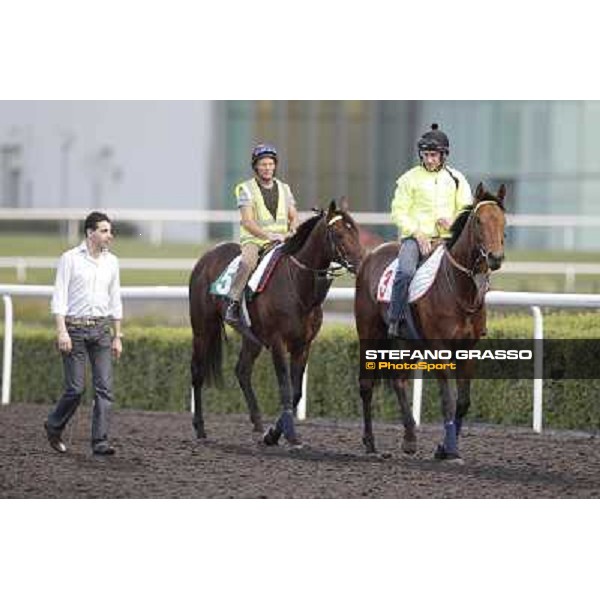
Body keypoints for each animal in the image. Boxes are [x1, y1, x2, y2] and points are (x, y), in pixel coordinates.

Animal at [190, 200, 364, 446]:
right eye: (339, 234)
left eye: (356, 231)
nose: (362, 262)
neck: (297, 286)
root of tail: (206, 257)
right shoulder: (277, 341)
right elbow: (285, 388)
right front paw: (289, 434)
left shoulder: (303, 345)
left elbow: (296, 391)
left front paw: (272, 433)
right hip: (202, 328)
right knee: (197, 371)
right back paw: (200, 428)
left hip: (251, 337)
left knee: (242, 370)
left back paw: (257, 421)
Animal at [356, 183, 506, 460]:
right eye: (478, 221)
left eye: (503, 220)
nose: (495, 257)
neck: (459, 289)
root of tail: (370, 255)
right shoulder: (439, 348)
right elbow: (447, 399)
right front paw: (451, 449)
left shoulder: (468, 349)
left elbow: (463, 402)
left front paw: (443, 448)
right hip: (369, 333)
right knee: (366, 384)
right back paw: (370, 442)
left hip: (408, 341)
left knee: (399, 381)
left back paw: (410, 438)